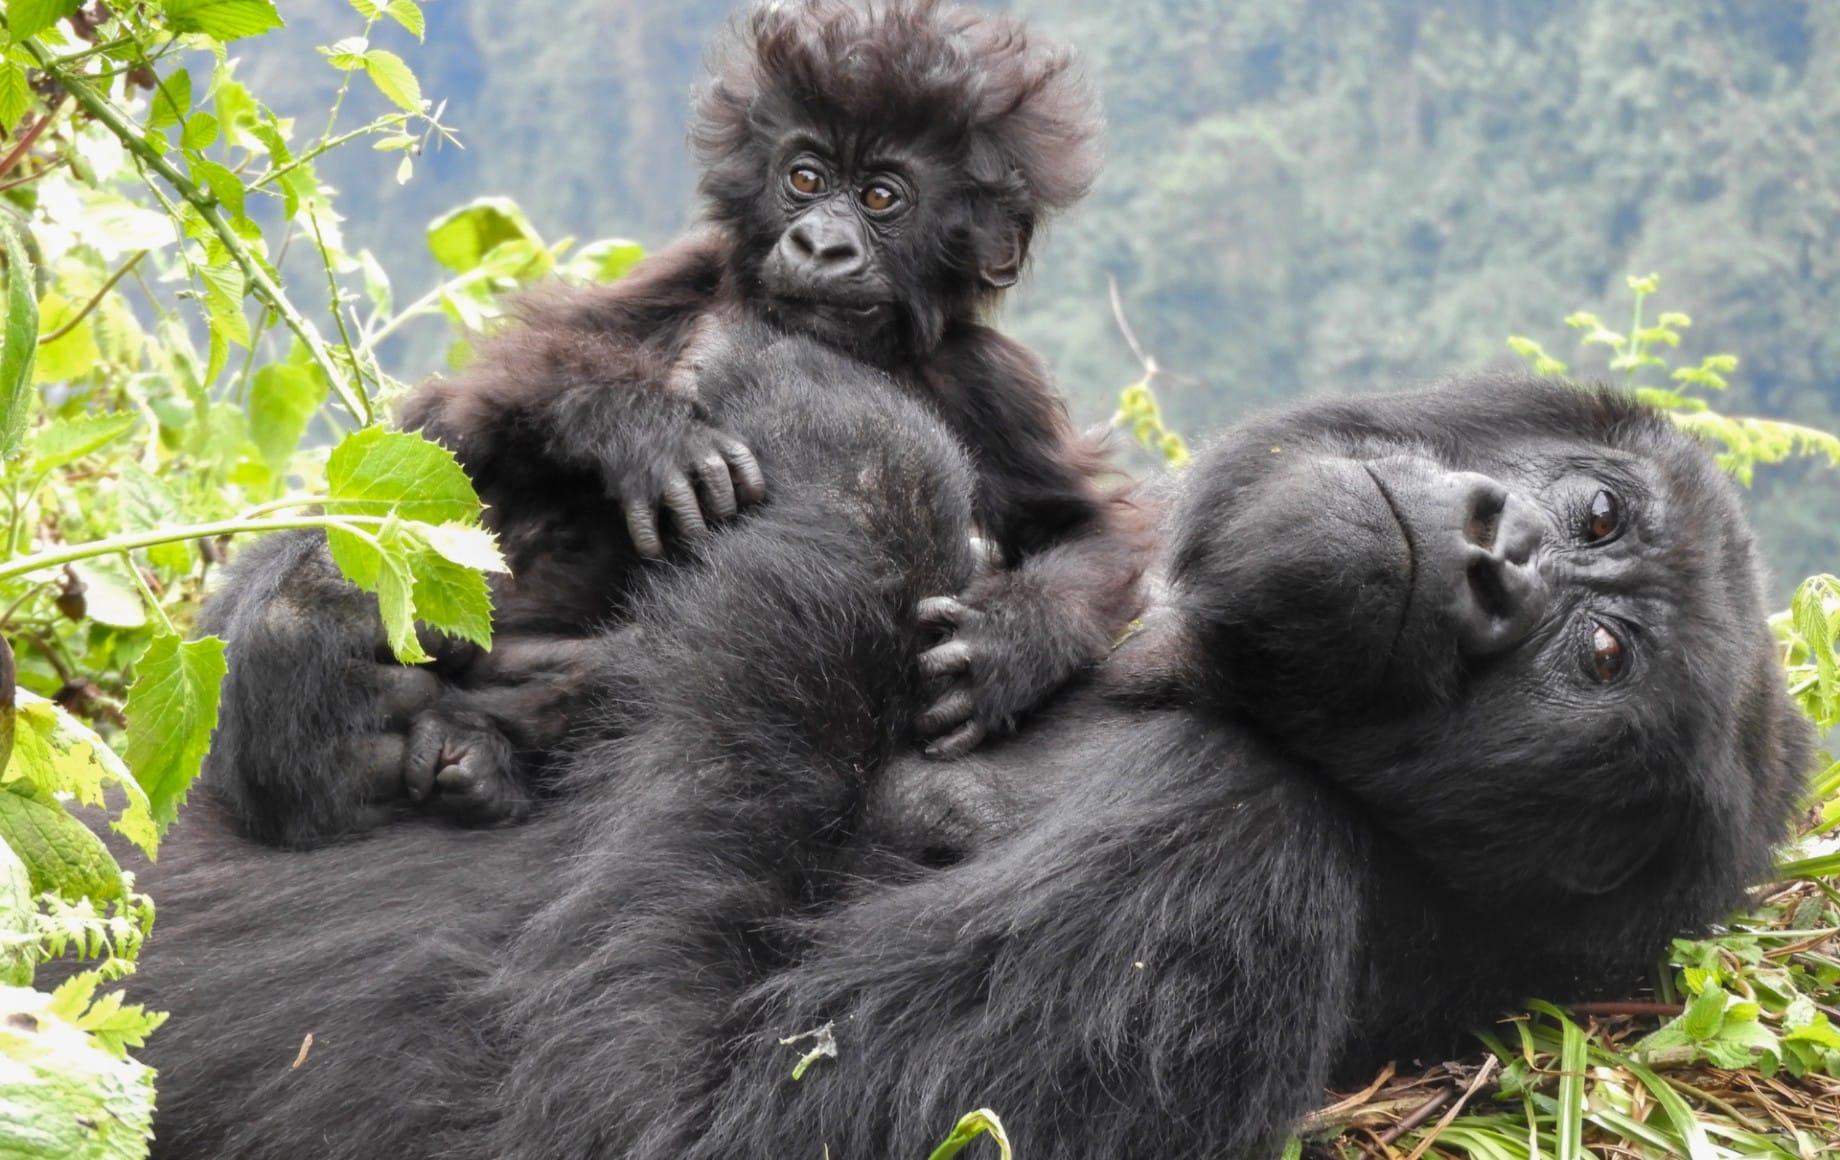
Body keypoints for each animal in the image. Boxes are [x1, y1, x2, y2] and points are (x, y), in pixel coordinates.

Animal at [93, 348, 1803, 1160]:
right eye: (1597, 512)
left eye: (1599, 663)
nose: (1494, 554)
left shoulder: (1236, 860)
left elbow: (660, 1117)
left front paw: (864, 448)